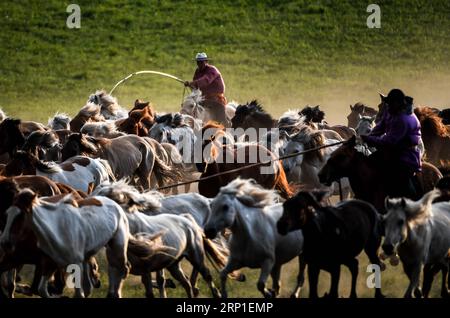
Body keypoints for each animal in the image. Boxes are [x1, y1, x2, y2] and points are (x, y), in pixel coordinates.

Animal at [0, 191, 161, 298]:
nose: (5, 242)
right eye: (7, 214)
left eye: (20, 216)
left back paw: (116, 294)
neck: (56, 227)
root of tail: (116, 206)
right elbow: (42, 290)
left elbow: (79, 293)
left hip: (117, 245)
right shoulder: (50, 263)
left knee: (123, 268)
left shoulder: (75, 264)